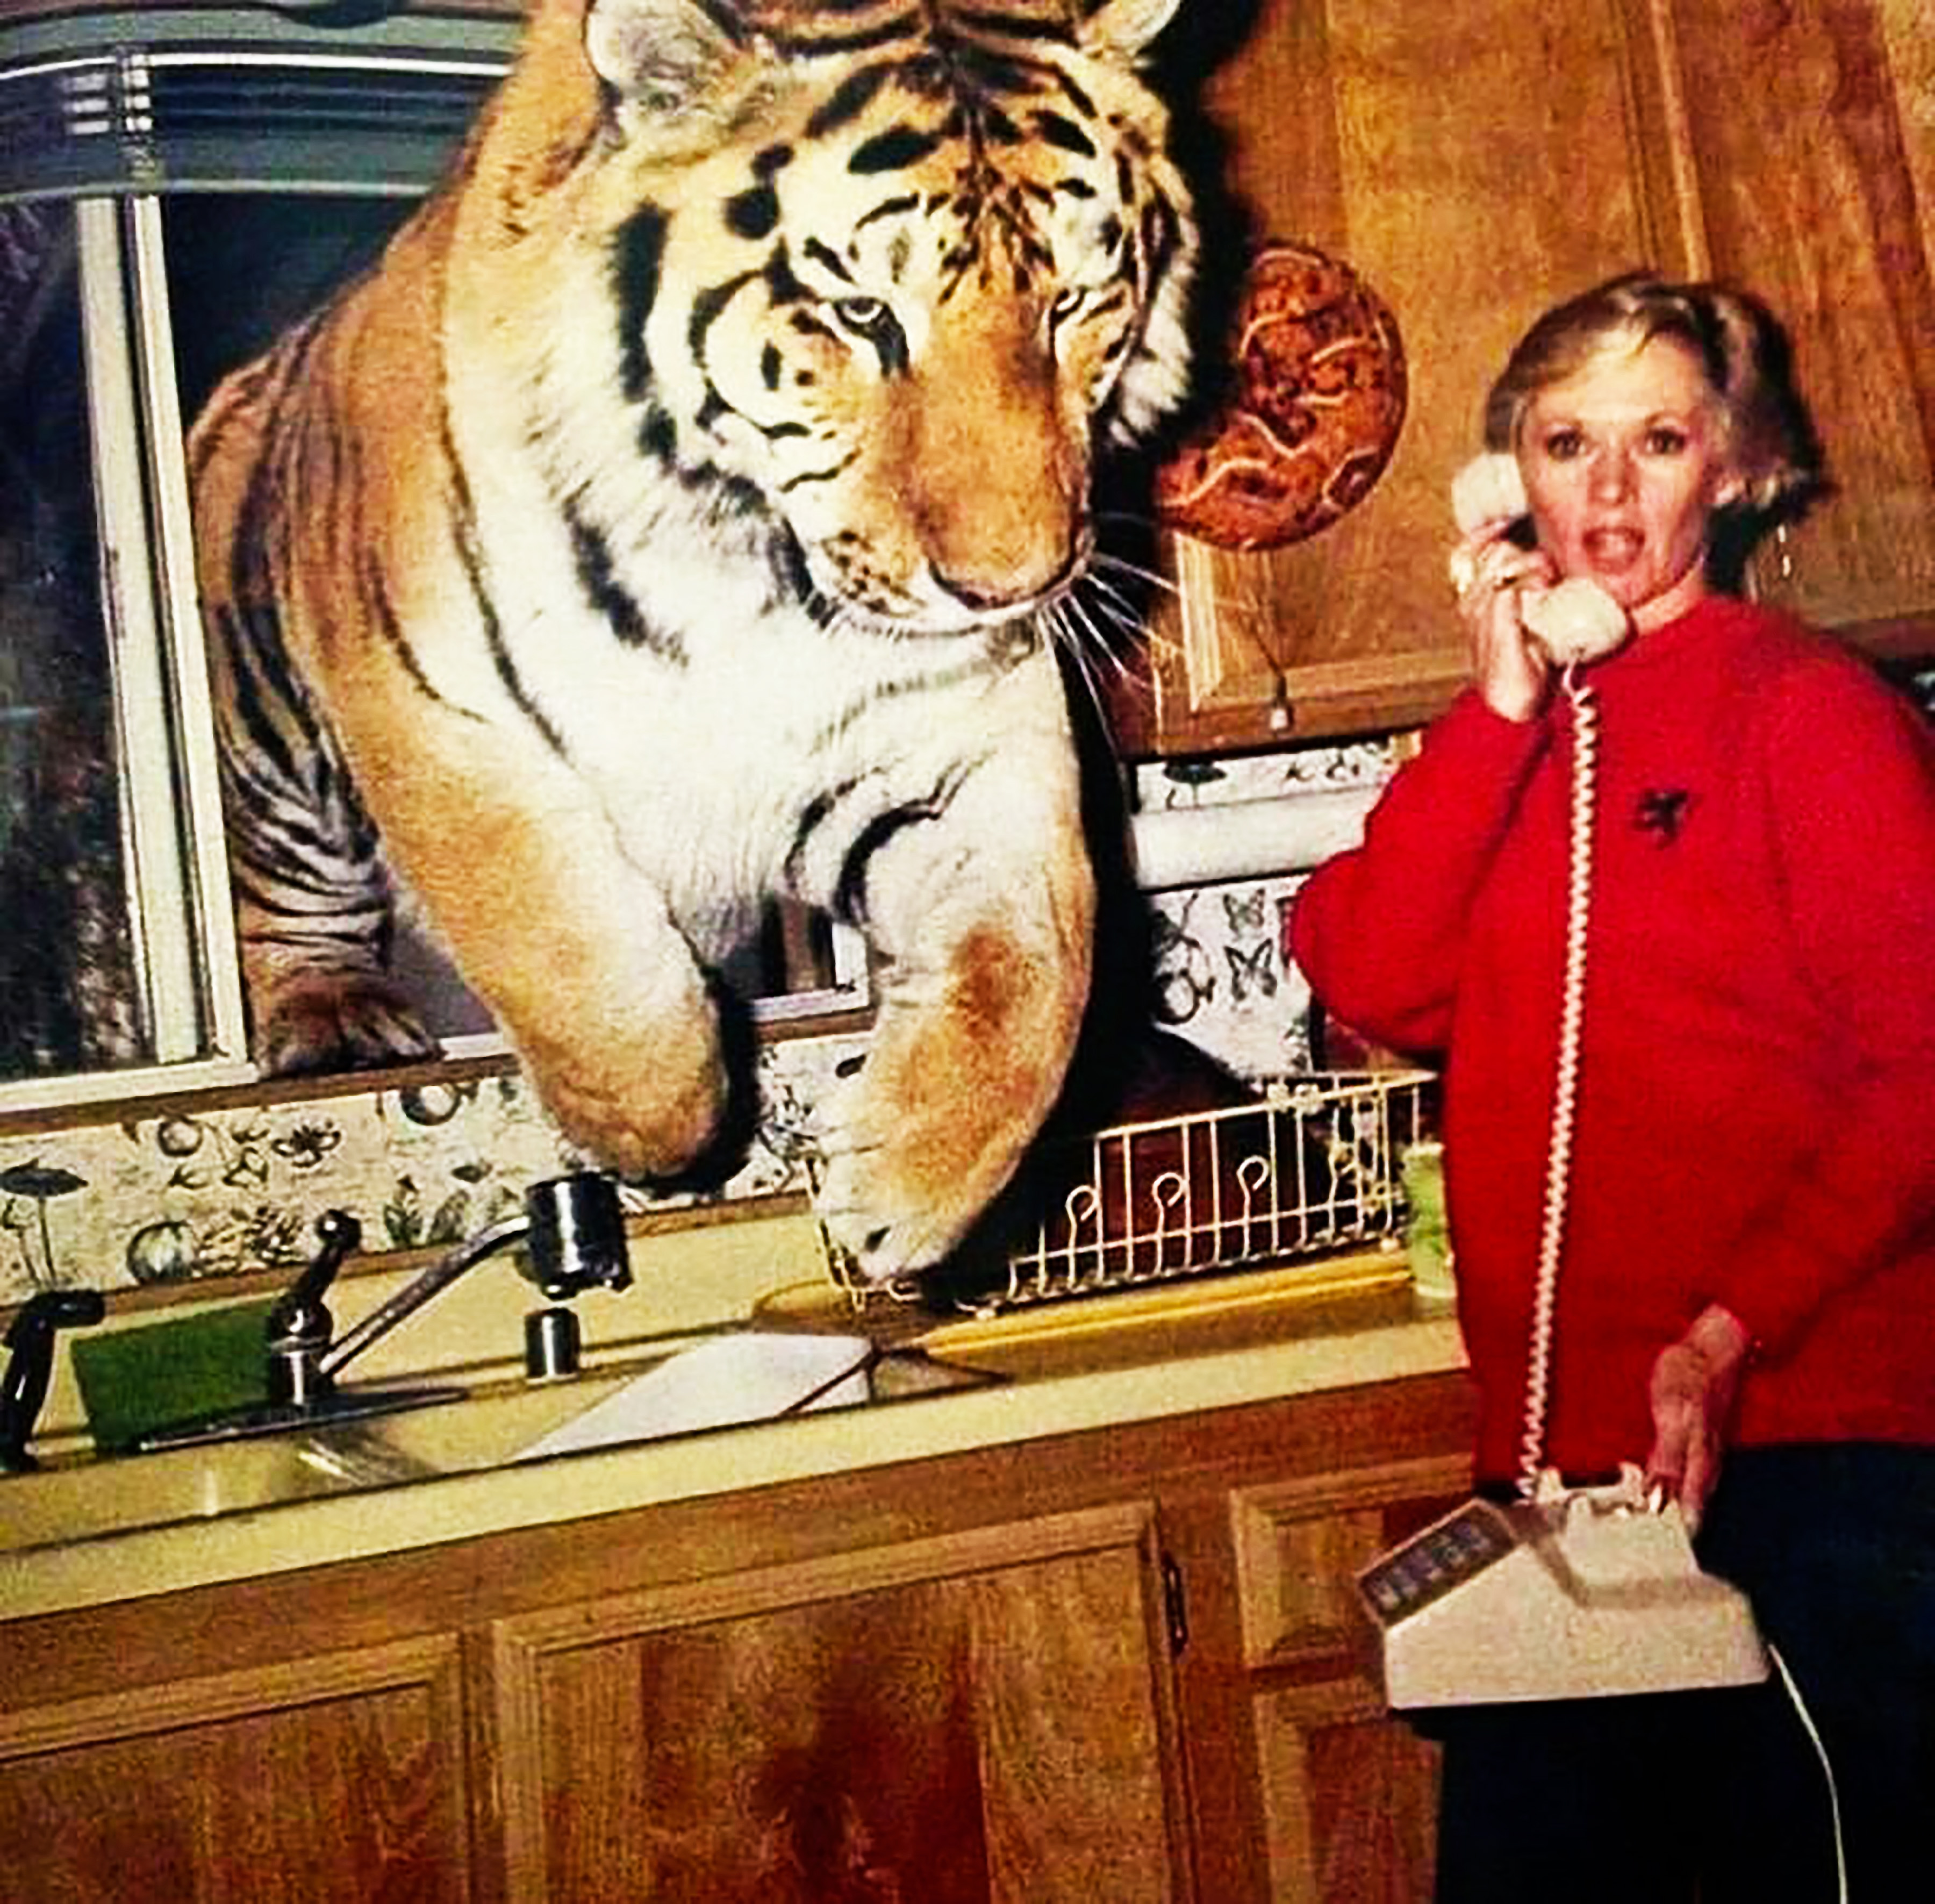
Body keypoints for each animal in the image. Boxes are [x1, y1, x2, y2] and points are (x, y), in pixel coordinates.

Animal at [189, 0, 1200, 1285]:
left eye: (1069, 306)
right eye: (864, 316)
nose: (1012, 584)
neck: (748, 572)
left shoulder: (960, 742)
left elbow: (1039, 964)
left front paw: (898, 1191)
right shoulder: (438, 715)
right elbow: (562, 949)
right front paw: (661, 1128)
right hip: (270, 731)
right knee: (285, 877)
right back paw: (333, 1020)